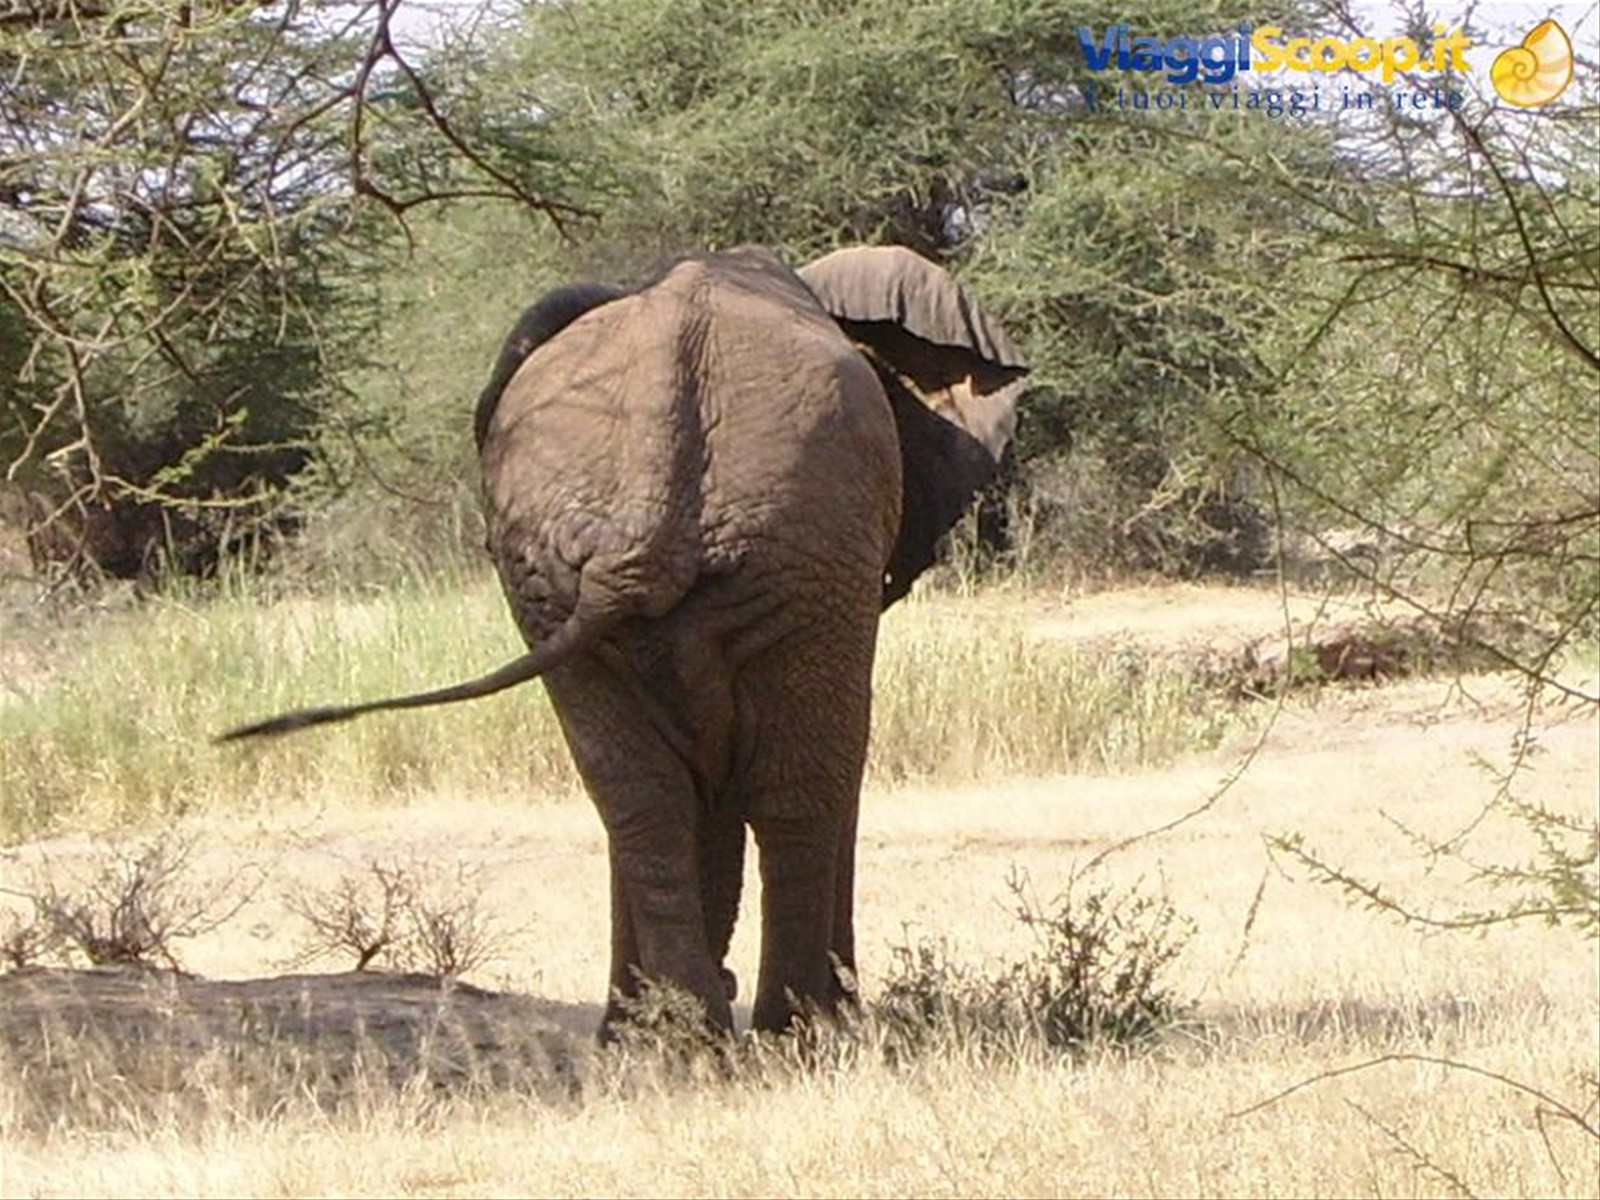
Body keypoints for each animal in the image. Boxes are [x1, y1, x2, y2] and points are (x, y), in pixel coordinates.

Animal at [222, 244, 1027, 1036]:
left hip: (572, 565)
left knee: (637, 791)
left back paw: (673, 1039)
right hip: (798, 547)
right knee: (794, 785)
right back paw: (794, 1034)